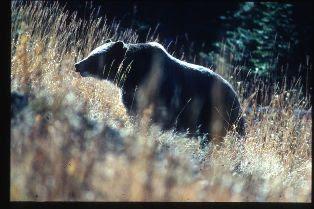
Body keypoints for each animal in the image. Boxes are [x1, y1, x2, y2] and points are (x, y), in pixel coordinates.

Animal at [74, 39, 245, 147]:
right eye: (93, 51)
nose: (78, 64)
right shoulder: (131, 92)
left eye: (95, 56)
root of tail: (237, 100)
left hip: (214, 113)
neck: (133, 73)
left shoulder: (156, 90)